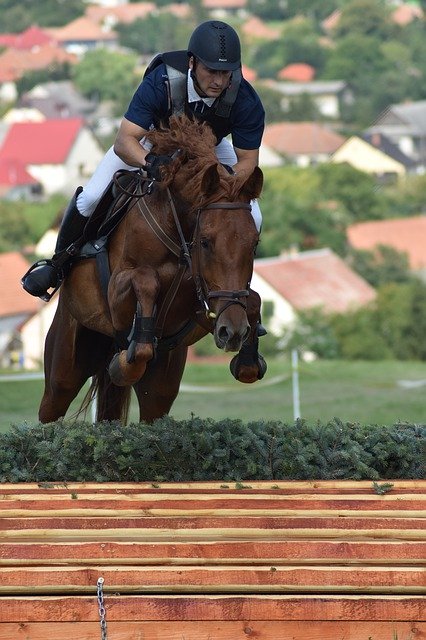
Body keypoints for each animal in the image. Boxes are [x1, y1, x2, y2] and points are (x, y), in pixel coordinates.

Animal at [40, 115, 266, 424]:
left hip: (160, 384)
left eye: (254, 244)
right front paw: (126, 363)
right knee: (51, 407)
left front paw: (247, 358)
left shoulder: (205, 305)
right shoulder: (117, 290)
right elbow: (146, 281)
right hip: (65, 366)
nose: (231, 332)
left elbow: (252, 299)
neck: (178, 230)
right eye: (205, 242)